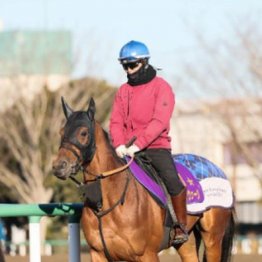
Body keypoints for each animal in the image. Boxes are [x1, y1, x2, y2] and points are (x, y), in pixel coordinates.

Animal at [52, 98, 234, 262]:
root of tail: (219, 171)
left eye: (83, 133)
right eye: (61, 132)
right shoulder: (98, 254)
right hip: (185, 242)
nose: (59, 166)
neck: (107, 203)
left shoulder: (147, 254)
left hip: (212, 239)